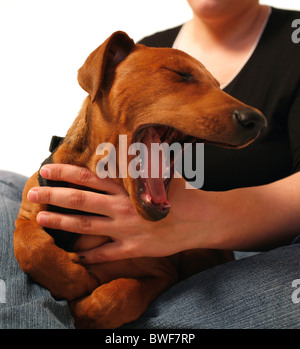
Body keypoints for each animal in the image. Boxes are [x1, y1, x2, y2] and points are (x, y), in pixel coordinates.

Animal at [14, 31, 268, 328]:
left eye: (218, 86)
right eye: (180, 74)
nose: (257, 121)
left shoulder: (159, 273)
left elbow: (114, 298)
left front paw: (83, 305)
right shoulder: (31, 207)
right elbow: (27, 244)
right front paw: (73, 279)